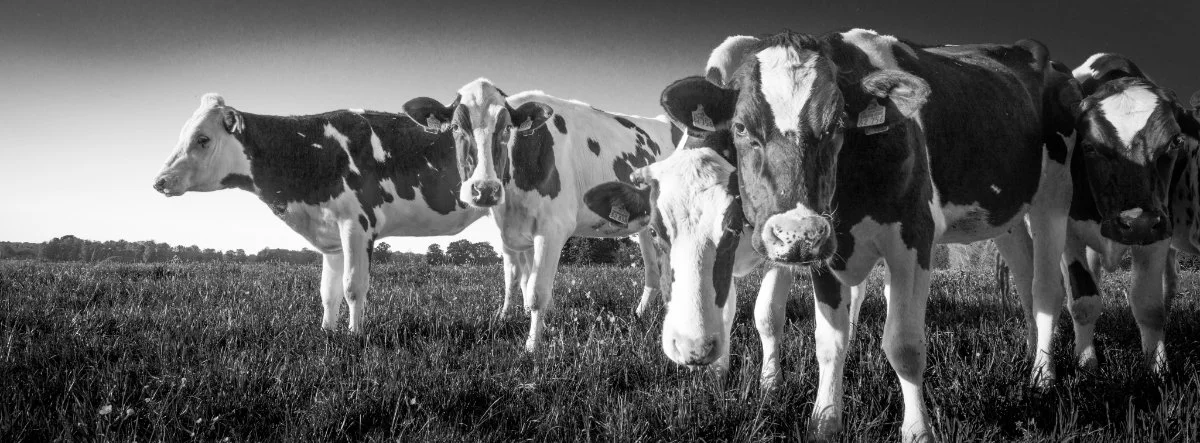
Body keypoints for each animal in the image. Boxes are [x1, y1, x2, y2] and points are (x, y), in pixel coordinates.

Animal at [153, 94, 487, 332]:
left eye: (203, 139)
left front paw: (355, 336)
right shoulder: (329, 233)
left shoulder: (356, 224)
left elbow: (353, 286)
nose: (160, 181)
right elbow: (328, 291)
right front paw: (327, 332)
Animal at [401, 79, 679, 352]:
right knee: (654, 270)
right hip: (645, 225)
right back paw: (640, 313)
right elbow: (514, 279)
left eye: (507, 128)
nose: (485, 190)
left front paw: (532, 345)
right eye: (456, 127)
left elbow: (537, 290)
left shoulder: (553, 229)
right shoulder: (510, 231)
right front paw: (505, 316)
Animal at [645, 29, 1080, 442]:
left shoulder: (913, 238)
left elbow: (904, 345)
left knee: (1047, 289)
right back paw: (1032, 356)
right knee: (1025, 282)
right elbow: (828, 341)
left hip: (1055, 196)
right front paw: (824, 421)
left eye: (836, 125)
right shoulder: (823, 249)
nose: (797, 233)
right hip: (1007, 215)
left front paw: (917, 431)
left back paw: (1045, 377)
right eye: (740, 127)